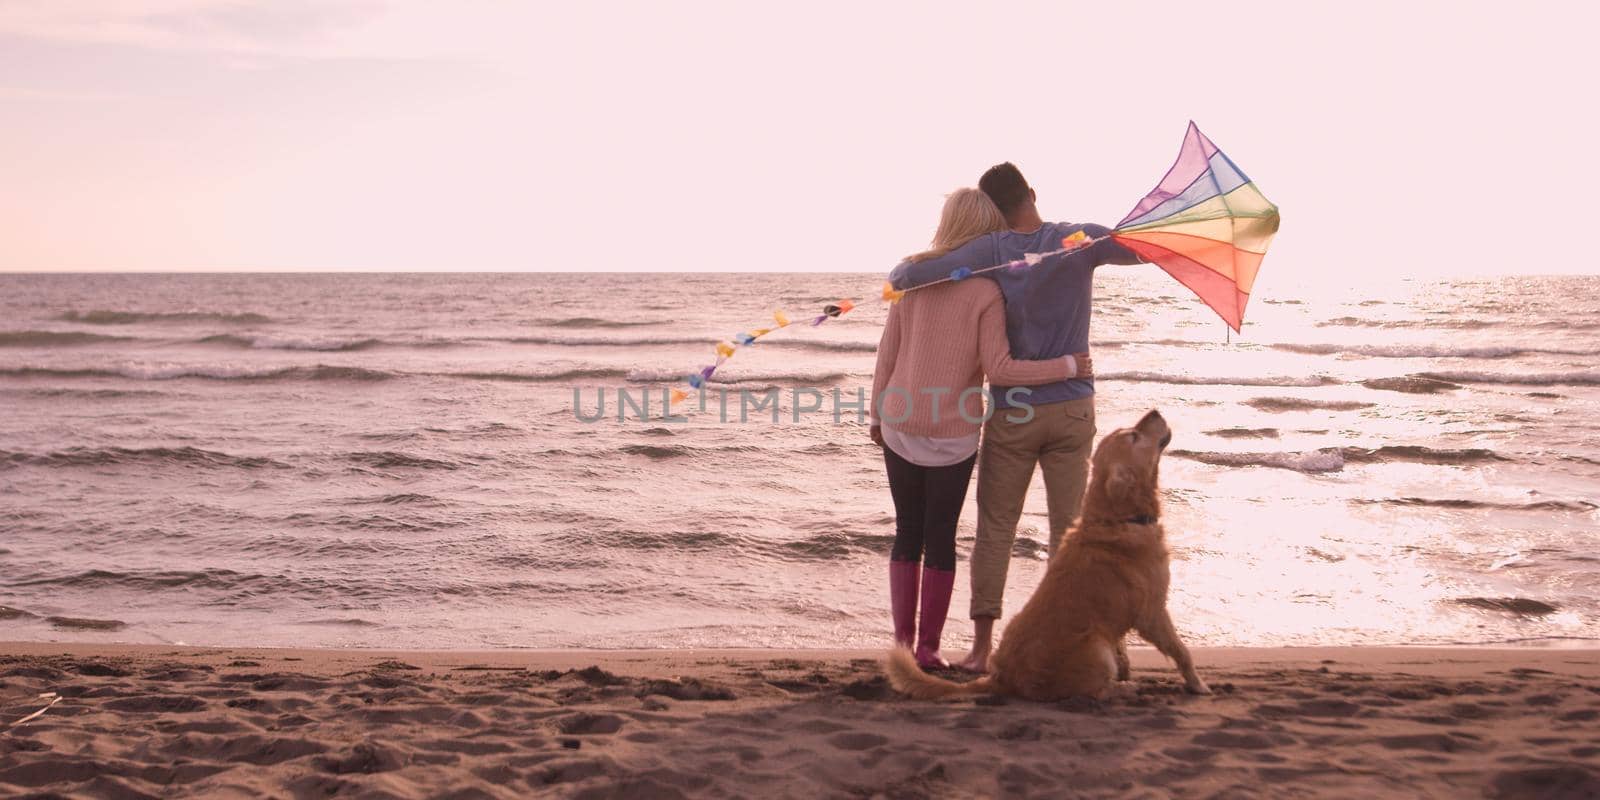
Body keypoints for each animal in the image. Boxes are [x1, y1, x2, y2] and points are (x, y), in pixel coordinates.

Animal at [883, 412, 1203, 700]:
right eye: (1133, 437)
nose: (1156, 412)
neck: (1118, 517)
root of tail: (1001, 677)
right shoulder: (1153, 611)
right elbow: (1181, 650)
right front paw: (1197, 684)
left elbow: (1125, 650)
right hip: (1096, 646)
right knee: (1093, 691)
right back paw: (1123, 689)